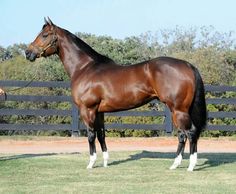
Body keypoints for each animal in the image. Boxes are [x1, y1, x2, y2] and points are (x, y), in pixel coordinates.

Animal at [25, 17, 206, 171]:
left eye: (45, 35)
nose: (28, 53)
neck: (84, 68)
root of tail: (188, 65)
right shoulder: (99, 111)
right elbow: (101, 135)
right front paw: (105, 162)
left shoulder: (87, 109)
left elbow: (91, 135)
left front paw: (91, 163)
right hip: (180, 109)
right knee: (187, 133)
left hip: (178, 109)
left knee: (188, 133)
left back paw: (186, 165)